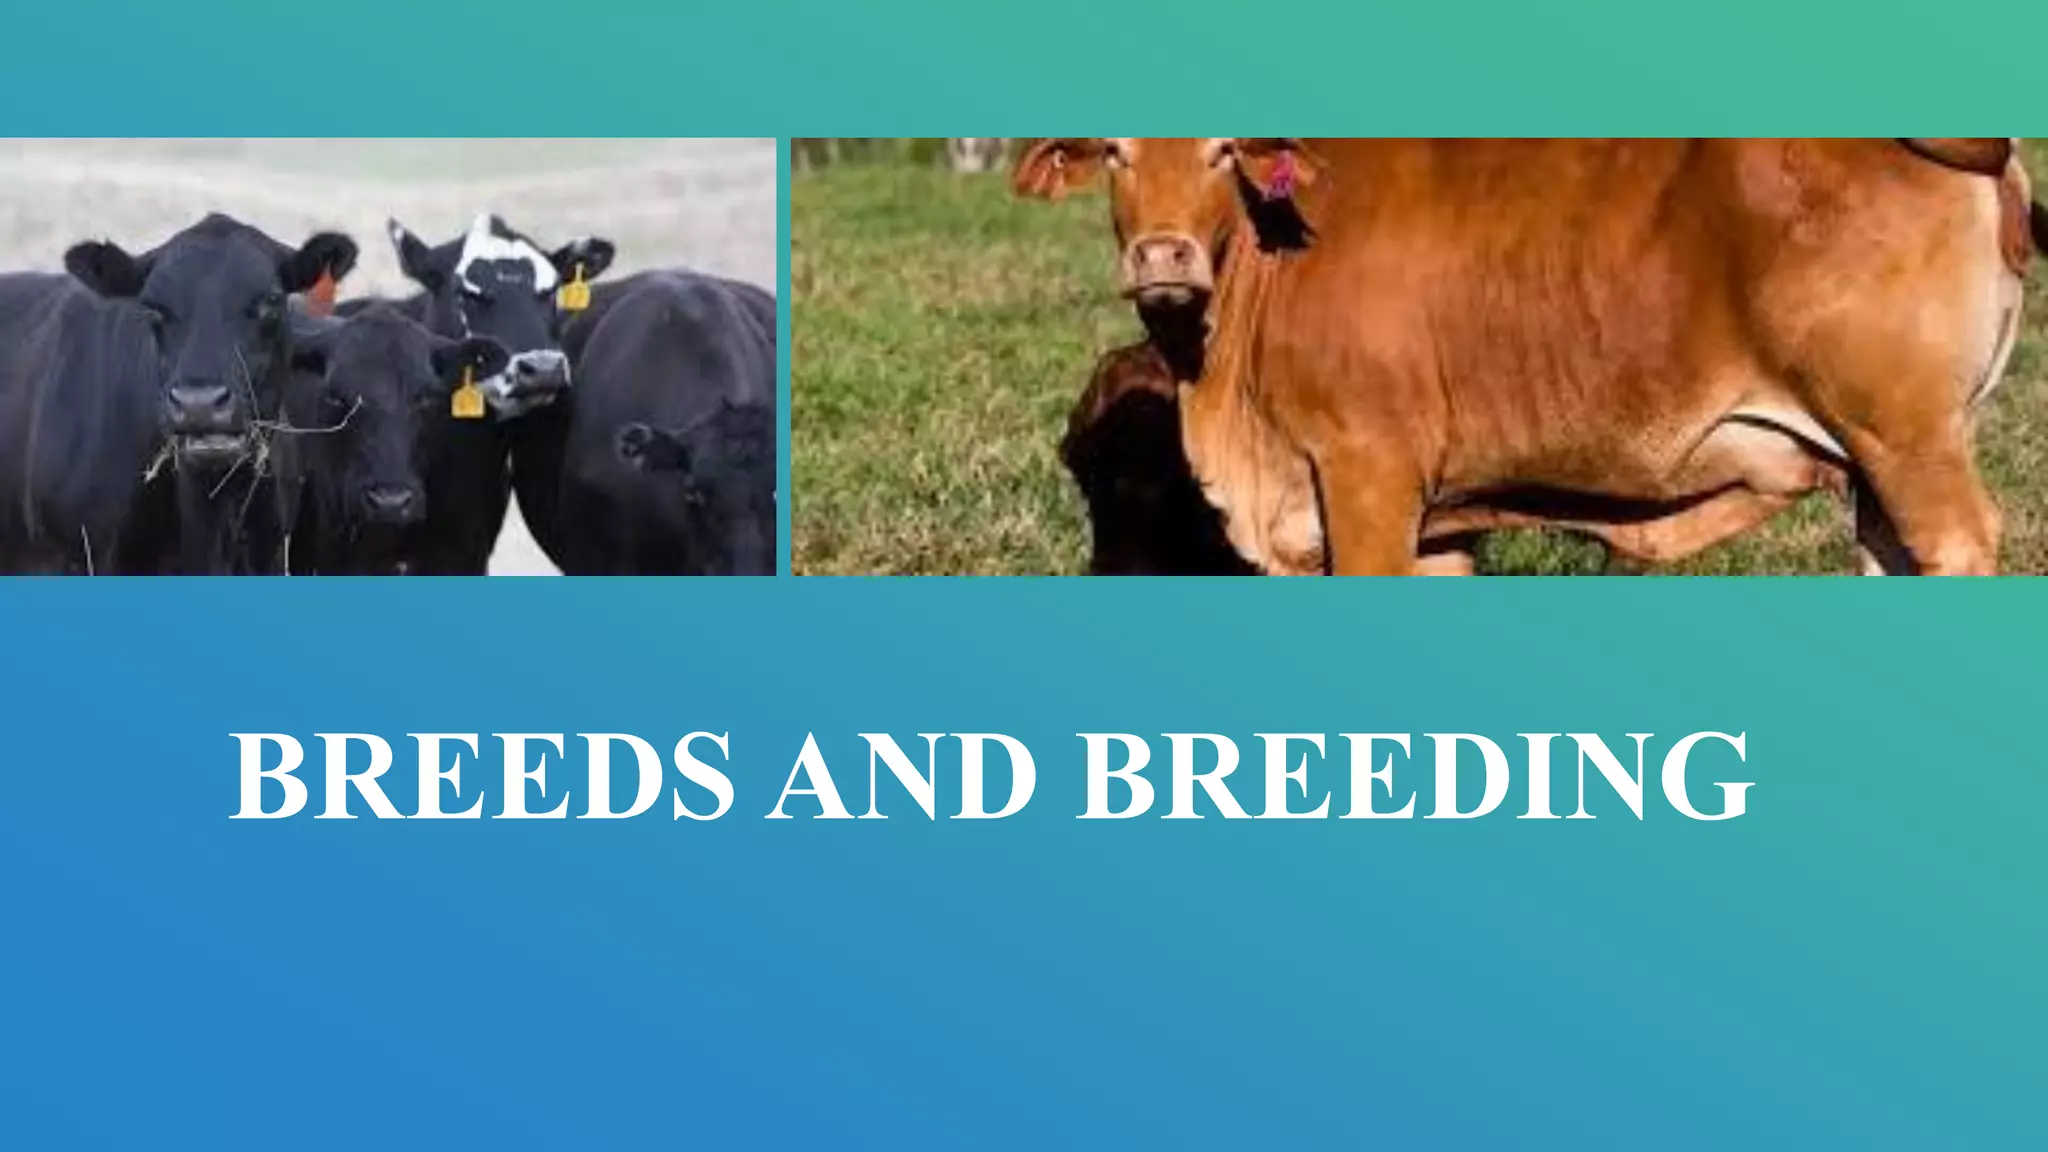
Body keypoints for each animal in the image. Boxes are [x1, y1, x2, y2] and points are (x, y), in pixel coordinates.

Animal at [1014, 138, 2041, 576]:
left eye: (1223, 150)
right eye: (1114, 151)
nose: (1164, 255)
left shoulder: (1367, 479)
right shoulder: (1439, 522)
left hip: (1906, 440)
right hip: (1875, 460)